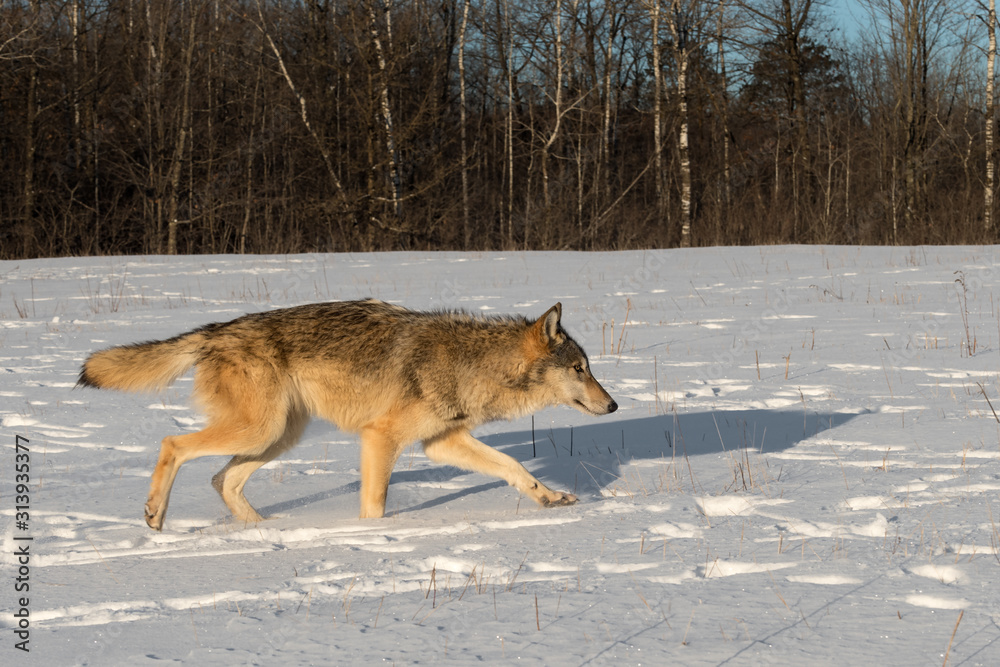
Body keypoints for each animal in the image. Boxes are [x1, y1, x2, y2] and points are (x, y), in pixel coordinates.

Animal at [77, 300, 617, 530]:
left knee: (221, 479)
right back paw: (155, 515)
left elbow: (515, 468)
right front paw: (372, 537)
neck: (473, 363)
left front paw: (549, 499)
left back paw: (267, 532)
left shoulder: (443, 442)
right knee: (173, 446)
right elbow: (374, 506)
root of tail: (215, 329)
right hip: (260, 430)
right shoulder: (380, 437)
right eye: (580, 369)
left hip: (277, 437)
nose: (613, 405)